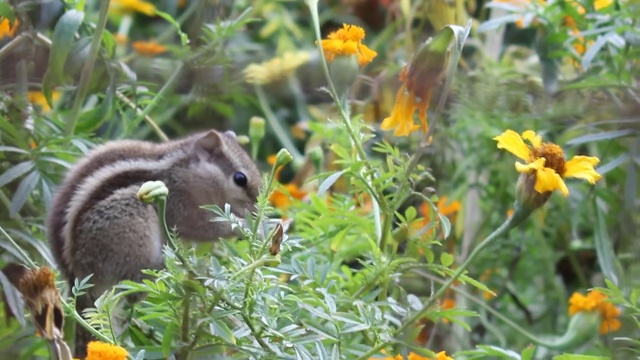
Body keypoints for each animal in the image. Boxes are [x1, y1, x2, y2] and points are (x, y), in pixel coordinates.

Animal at [46, 129, 262, 354]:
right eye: (240, 179)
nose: (257, 209)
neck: (183, 169)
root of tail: (78, 280)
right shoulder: (180, 206)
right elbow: (205, 228)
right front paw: (253, 227)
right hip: (131, 217)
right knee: (134, 279)